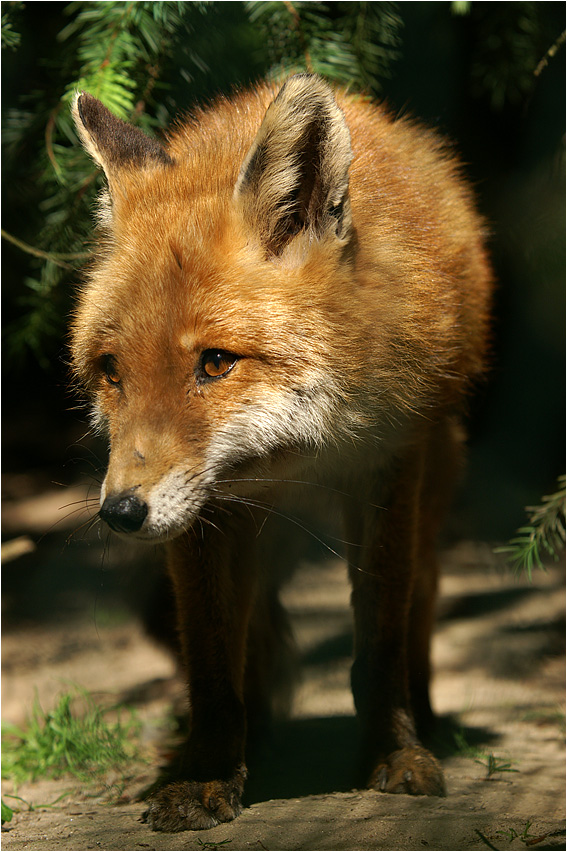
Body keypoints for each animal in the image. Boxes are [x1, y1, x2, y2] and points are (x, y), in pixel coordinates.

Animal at [71, 75, 492, 832]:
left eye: (215, 363)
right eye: (112, 371)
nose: (119, 513)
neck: (297, 461)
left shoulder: (385, 468)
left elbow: (379, 637)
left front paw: (394, 753)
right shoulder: (203, 515)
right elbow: (212, 657)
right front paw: (207, 774)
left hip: (435, 476)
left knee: (422, 593)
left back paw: (427, 715)